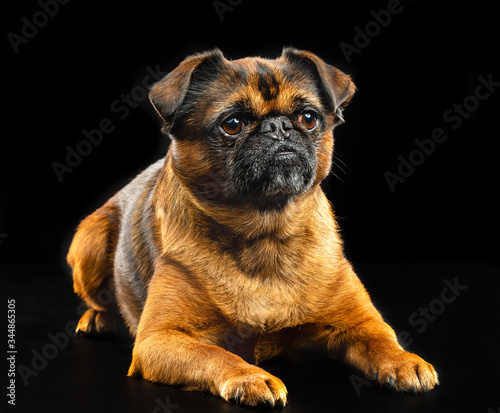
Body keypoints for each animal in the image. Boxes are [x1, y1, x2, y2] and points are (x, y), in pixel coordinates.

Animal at [67, 47, 438, 406]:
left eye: (308, 118)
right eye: (233, 124)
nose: (278, 126)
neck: (266, 235)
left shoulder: (360, 322)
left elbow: (382, 338)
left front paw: (405, 360)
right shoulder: (158, 340)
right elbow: (215, 354)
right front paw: (250, 377)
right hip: (91, 241)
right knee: (97, 298)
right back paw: (97, 319)